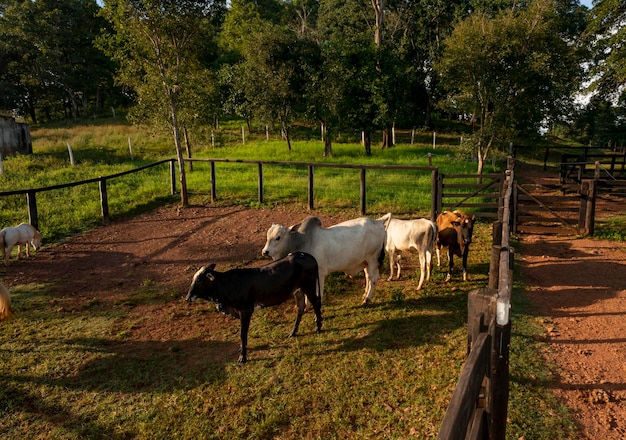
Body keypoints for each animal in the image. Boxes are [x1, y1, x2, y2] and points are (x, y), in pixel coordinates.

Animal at [185, 253, 322, 362]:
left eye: (199, 280)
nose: (187, 297)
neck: (226, 284)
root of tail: (307, 255)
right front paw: (242, 349)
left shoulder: (245, 311)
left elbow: (242, 334)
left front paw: (243, 357)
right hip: (298, 291)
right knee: (301, 307)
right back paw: (293, 332)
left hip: (308, 286)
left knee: (316, 303)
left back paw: (318, 328)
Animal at [260, 214, 390, 306]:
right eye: (267, 237)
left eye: (278, 237)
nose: (265, 251)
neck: (302, 242)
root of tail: (377, 222)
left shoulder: (320, 274)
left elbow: (318, 294)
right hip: (365, 262)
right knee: (368, 277)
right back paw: (364, 295)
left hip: (373, 259)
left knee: (373, 279)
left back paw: (367, 300)